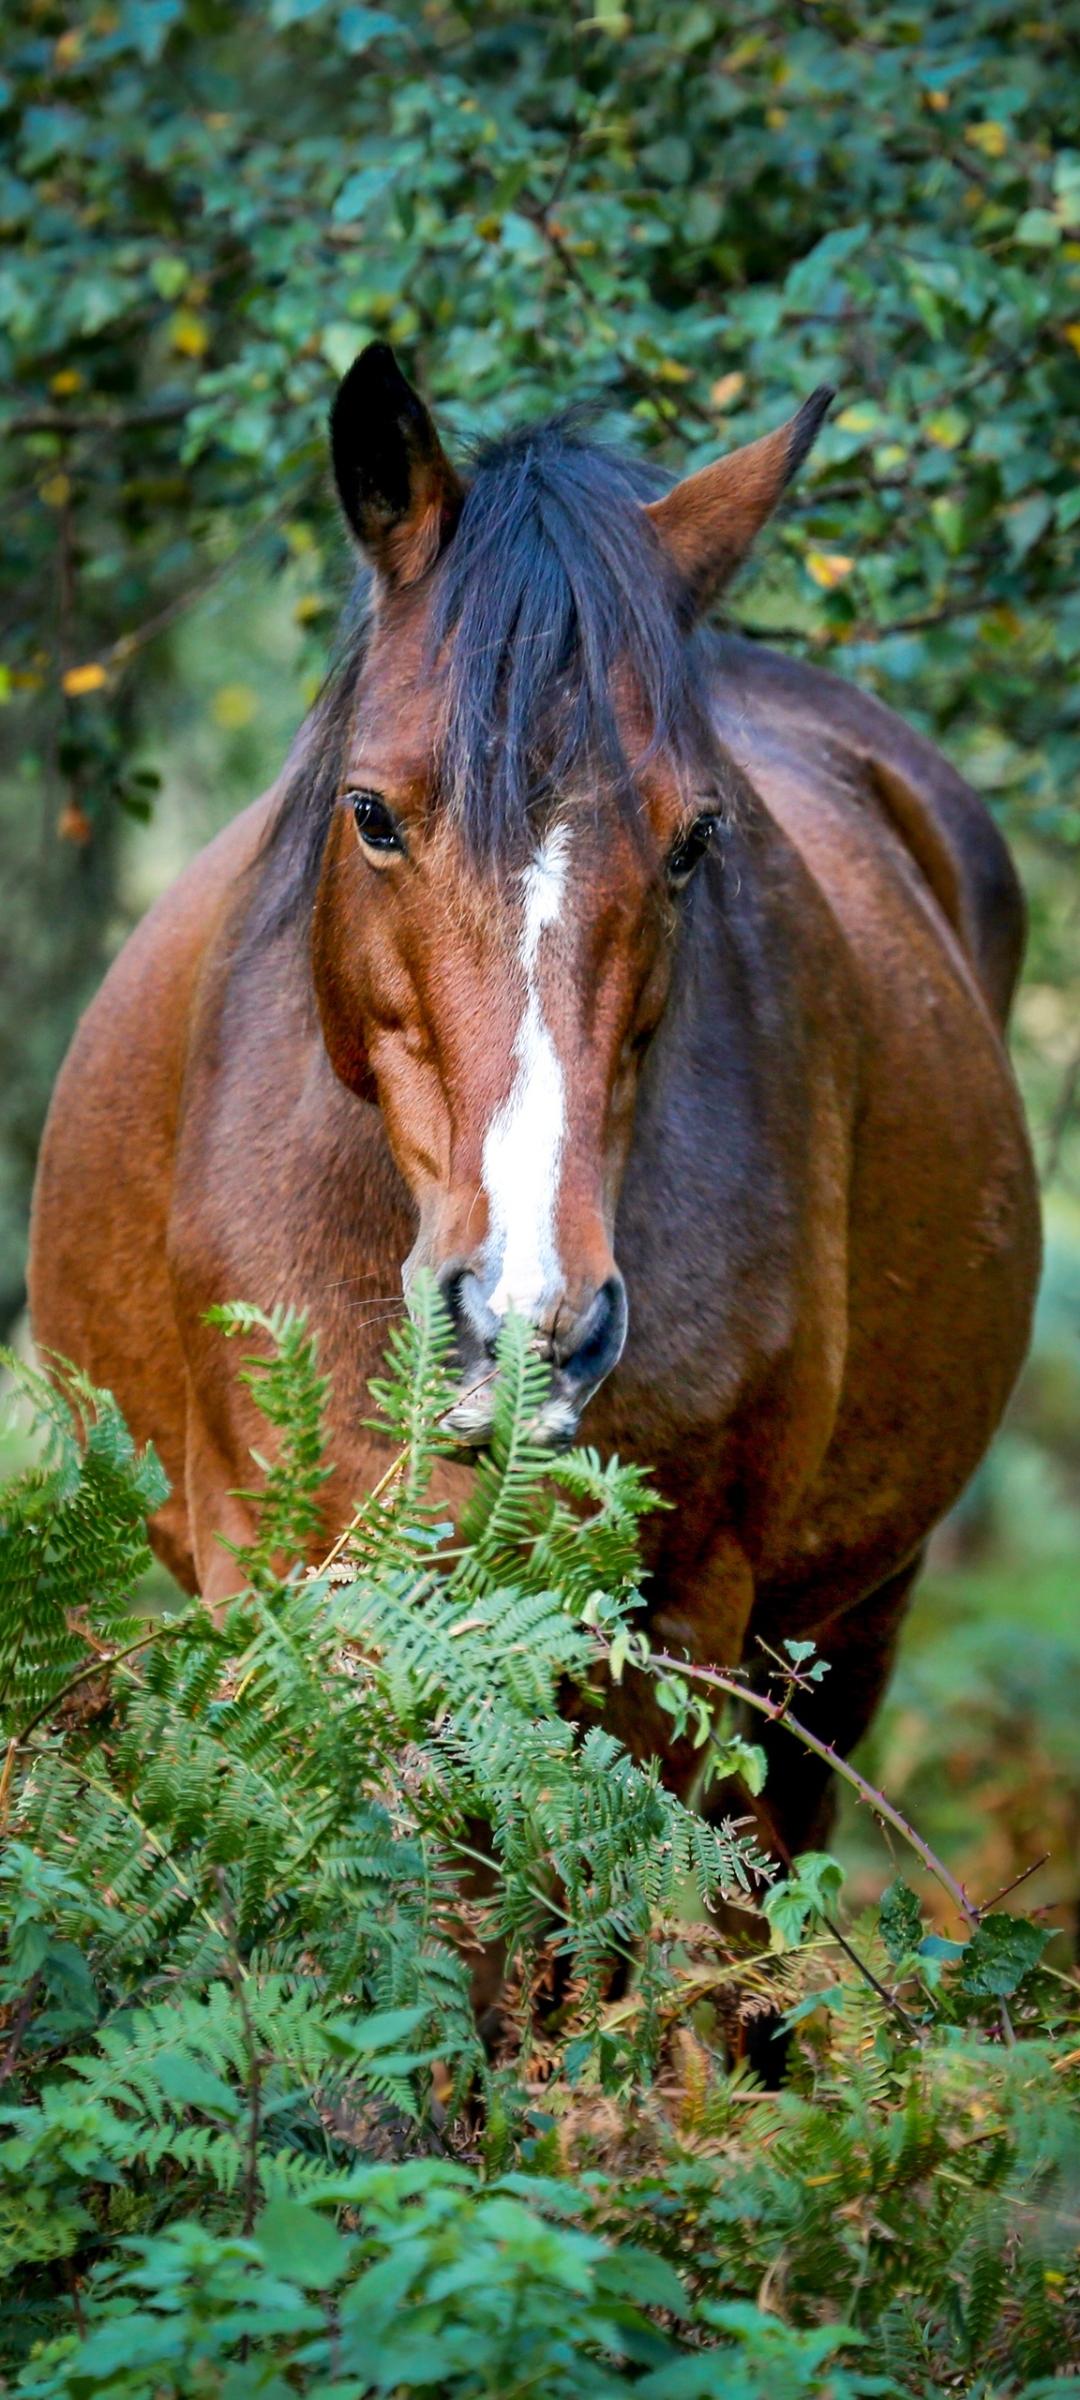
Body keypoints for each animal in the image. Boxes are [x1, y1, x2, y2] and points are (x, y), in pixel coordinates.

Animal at [31, 348, 1036, 1852]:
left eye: (697, 840)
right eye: (373, 813)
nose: (526, 1321)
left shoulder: (670, 1633)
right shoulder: (302, 1594)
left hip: (838, 1646)